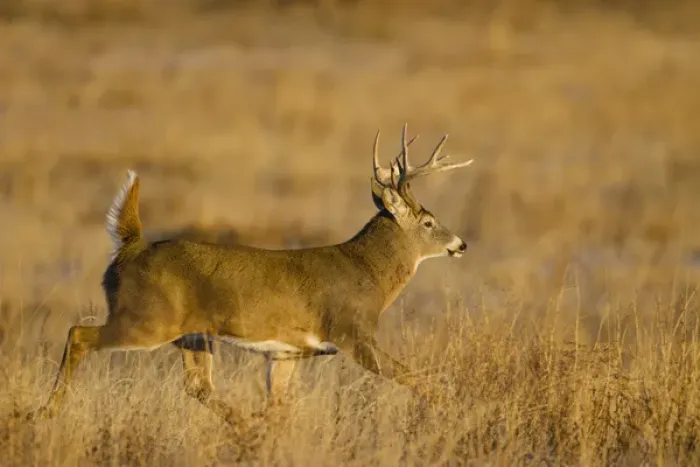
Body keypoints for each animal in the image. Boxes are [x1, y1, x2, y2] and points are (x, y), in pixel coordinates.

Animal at [29, 124, 473, 425]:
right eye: (429, 222)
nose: (461, 244)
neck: (369, 273)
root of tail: (131, 246)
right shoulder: (353, 332)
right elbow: (415, 378)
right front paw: (452, 411)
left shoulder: (287, 351)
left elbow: (278, 406)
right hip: (146, 318)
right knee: (78, 334)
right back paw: (46, 412)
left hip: (192, 334)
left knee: (198, 385)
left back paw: (242, 427)